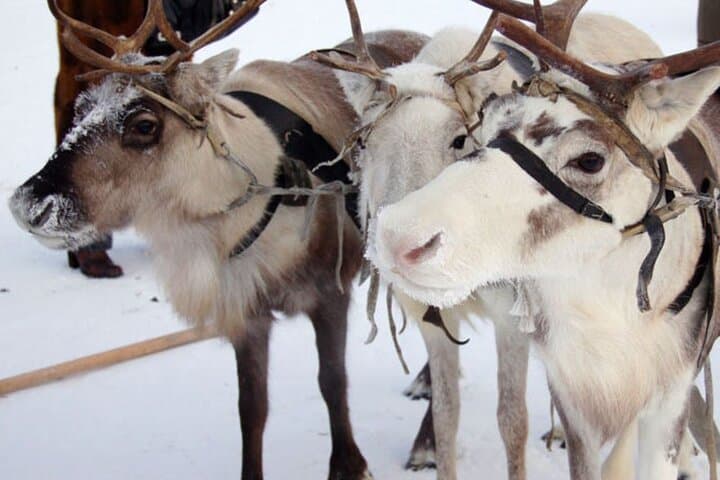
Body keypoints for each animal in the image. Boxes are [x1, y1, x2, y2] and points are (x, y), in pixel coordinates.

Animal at [8, 1, 430, 478]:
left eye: (144, 124)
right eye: (80, 109)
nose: (29, 202)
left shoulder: (329, 290)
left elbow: (332, 381)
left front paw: (349, 464)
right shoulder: (244, 310)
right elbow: (251, 408)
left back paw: (426, 442)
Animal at [311, 1, 691, 479]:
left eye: (459, 139)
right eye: (366, 144)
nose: (395, 246)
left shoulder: (514, 315)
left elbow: (512, 420)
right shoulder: (432, 319)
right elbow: (447, 413)